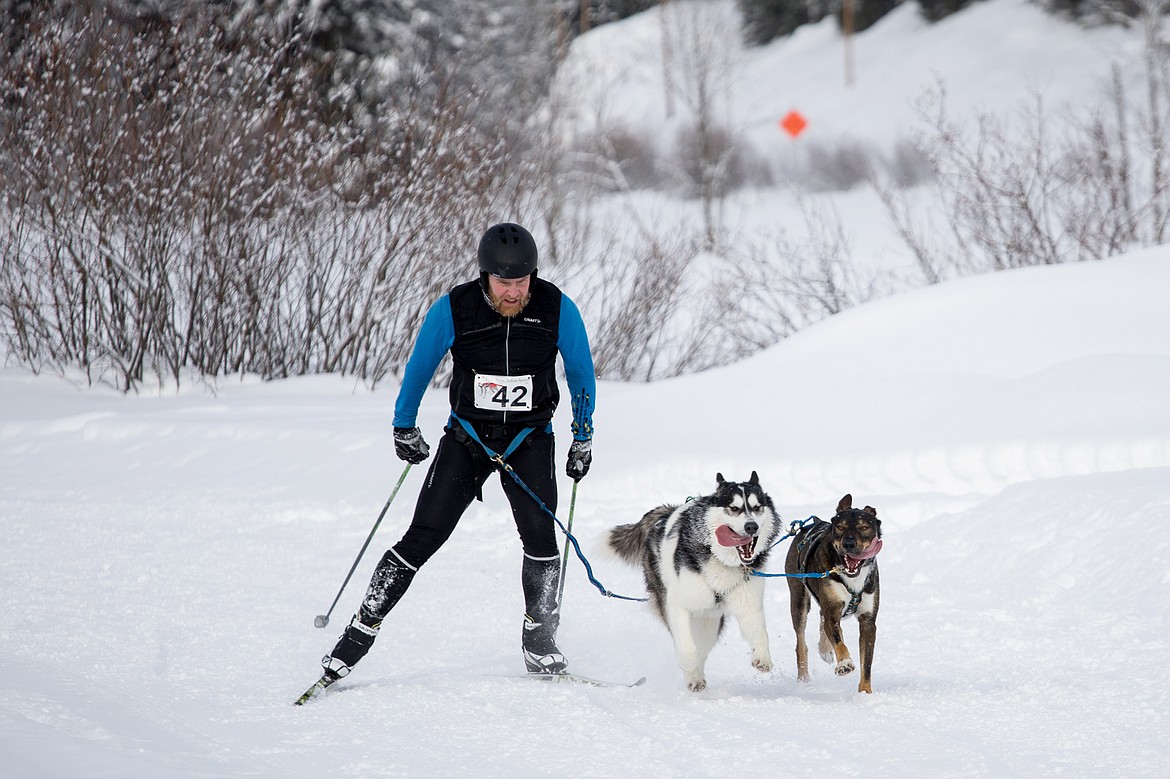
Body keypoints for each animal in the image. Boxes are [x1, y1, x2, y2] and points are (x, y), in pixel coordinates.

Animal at [781, 493, 879, 687]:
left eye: (864, 527)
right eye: (840, 527)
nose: (849, 544)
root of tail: (812, 524)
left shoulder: (868, 621)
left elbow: (867, 666)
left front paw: (865, 691)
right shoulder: (832, 608)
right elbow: (838, 641)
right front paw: (844, 663)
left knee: (824, 620)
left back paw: (825, 649)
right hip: (799, 601)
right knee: (801, 643)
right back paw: (803, 678)